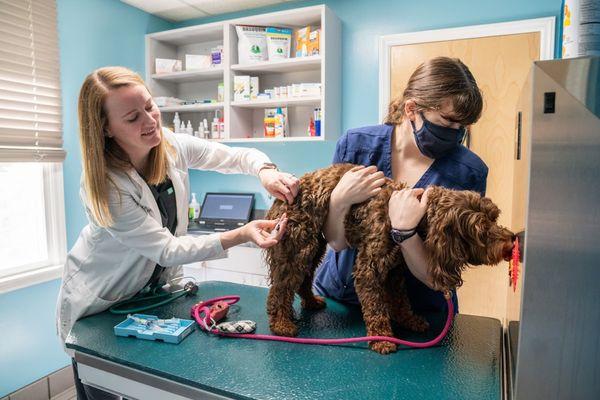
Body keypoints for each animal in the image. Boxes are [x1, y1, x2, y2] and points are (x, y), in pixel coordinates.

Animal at [264, 162, 512, 354]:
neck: (416, 215)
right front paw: (382, 338)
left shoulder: (395, 270)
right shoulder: (368, 269)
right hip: (297, 247)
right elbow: (375, 306)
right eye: (482, 230)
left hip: (313, 246)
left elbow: (401, 299)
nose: (511, 242)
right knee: (280, 288)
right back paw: (281, 324)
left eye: (494, 217)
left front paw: (408, 320)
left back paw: (311, 301)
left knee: (302, 279)